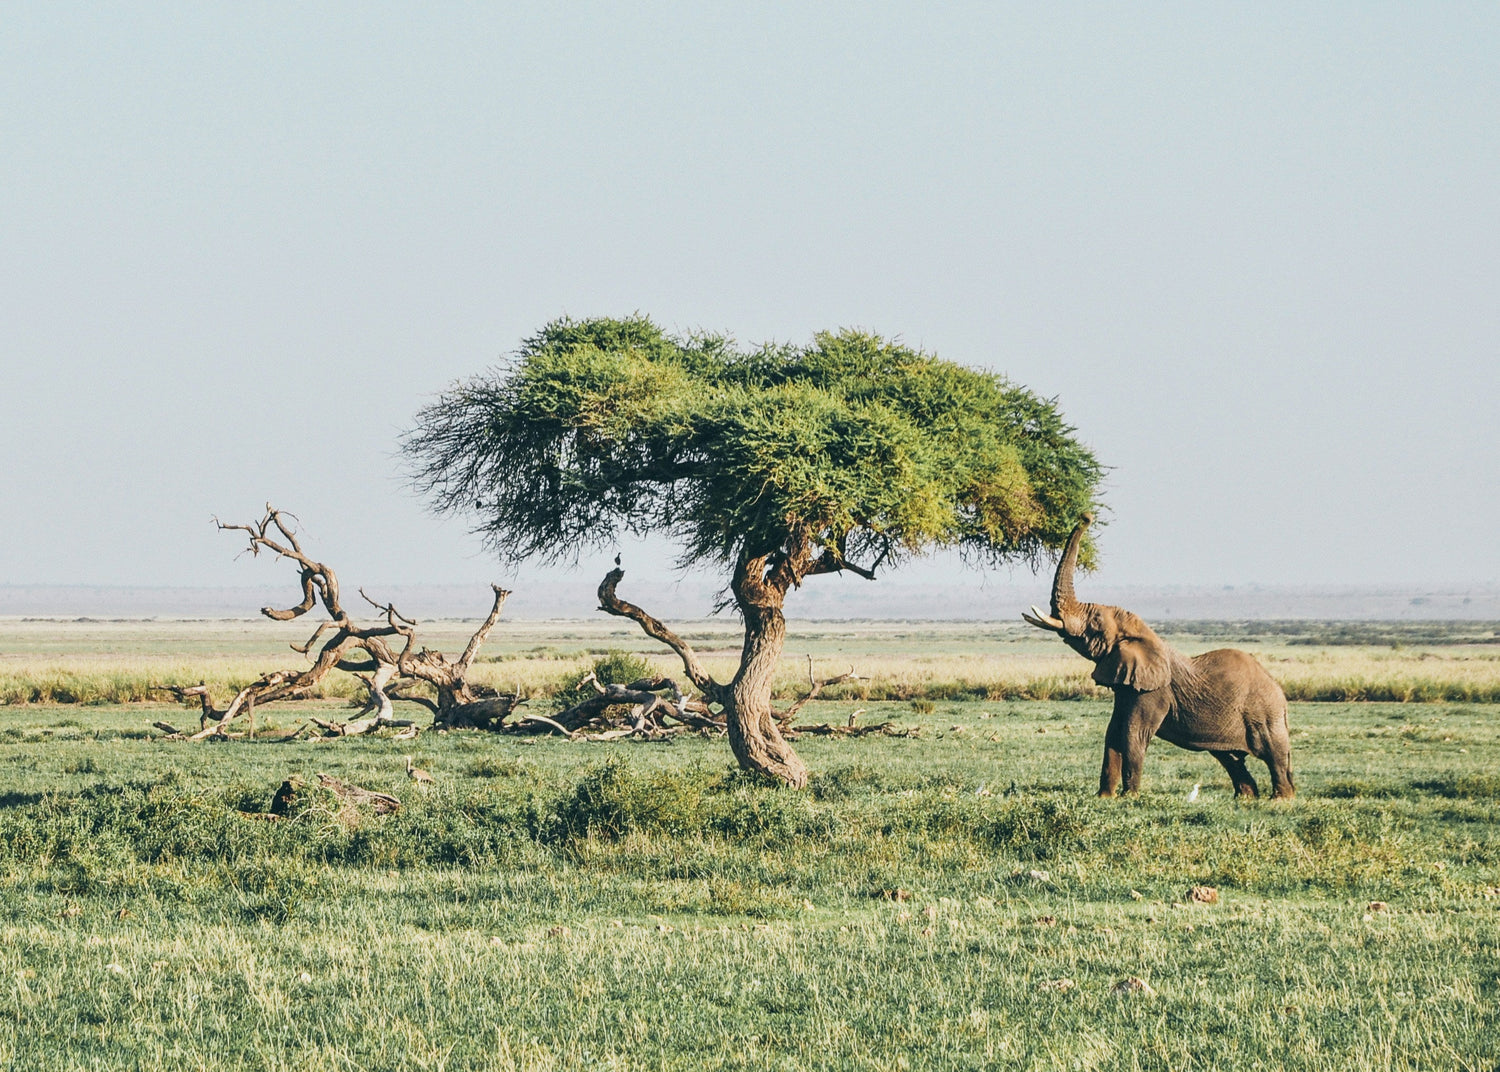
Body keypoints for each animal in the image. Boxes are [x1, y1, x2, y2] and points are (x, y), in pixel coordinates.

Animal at [1022, 515, 1295, 800]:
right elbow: (1113, 732)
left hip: (1264, 714)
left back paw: (1280, 799)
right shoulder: (1128, 685)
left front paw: (1129, 797)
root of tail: (1279, 691)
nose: (1087, 516)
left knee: (1274, 754)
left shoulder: (1154, 692)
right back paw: (1245, 798)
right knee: (1229, 757)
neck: (1144, 634)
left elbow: (1133, 734)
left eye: (1095, 622)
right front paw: (1104, 797)